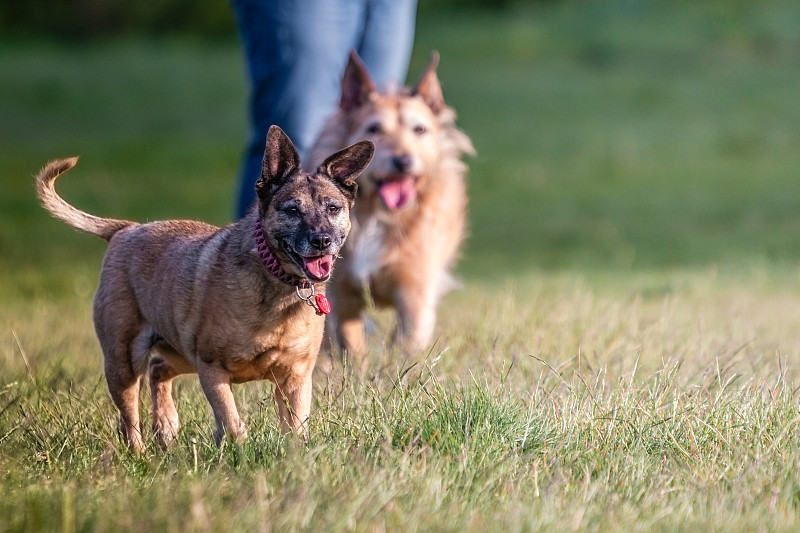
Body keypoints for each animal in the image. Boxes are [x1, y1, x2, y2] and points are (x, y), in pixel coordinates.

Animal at [36, 127, 374, 450]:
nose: (322, 240)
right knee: (130, 416)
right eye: (292, 210)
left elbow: (296, 426)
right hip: (124, 361)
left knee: (158, 369)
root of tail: (126, 229)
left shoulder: (296, 378)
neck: (277, 282)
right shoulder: (212, 368)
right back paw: (139, 452)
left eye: (333, 208)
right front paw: (237, 447)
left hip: (180, 351)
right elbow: (231, 420)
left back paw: (166, 425)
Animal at [308, 51, 476, 358]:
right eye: (374, 128)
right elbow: (351, 345)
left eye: (420, 129)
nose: (403, 160)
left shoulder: (415, 294)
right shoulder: (342, 295)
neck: (379, 213)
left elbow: (409, 345)